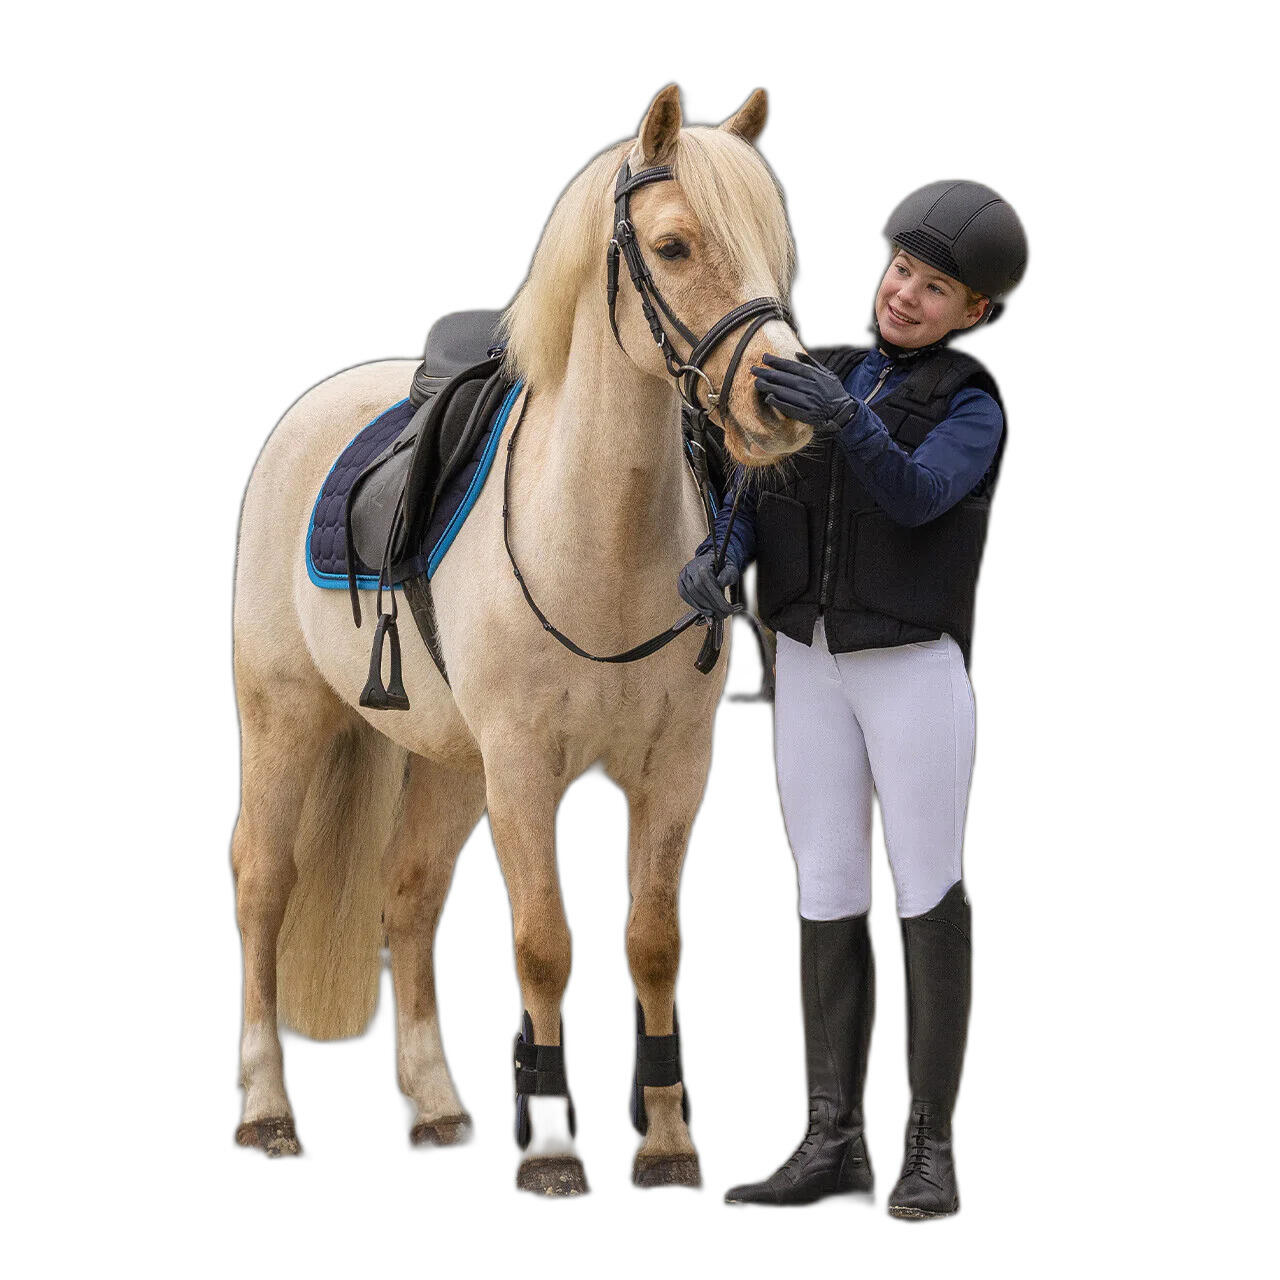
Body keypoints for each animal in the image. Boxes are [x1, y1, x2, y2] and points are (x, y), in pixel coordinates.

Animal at [230, 83, 808, 1194]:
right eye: (672, 245)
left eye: (780, 251)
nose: (783, 399)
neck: (597, 540)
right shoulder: (526, 769)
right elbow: (544, 943)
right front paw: (547, 1142)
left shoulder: (673, 769)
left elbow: (651, 941)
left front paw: (665, 1139)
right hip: (286, 719)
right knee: (261, 886)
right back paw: (265, 1108)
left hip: (451, 763)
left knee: (408, 894)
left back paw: (437, 1101)